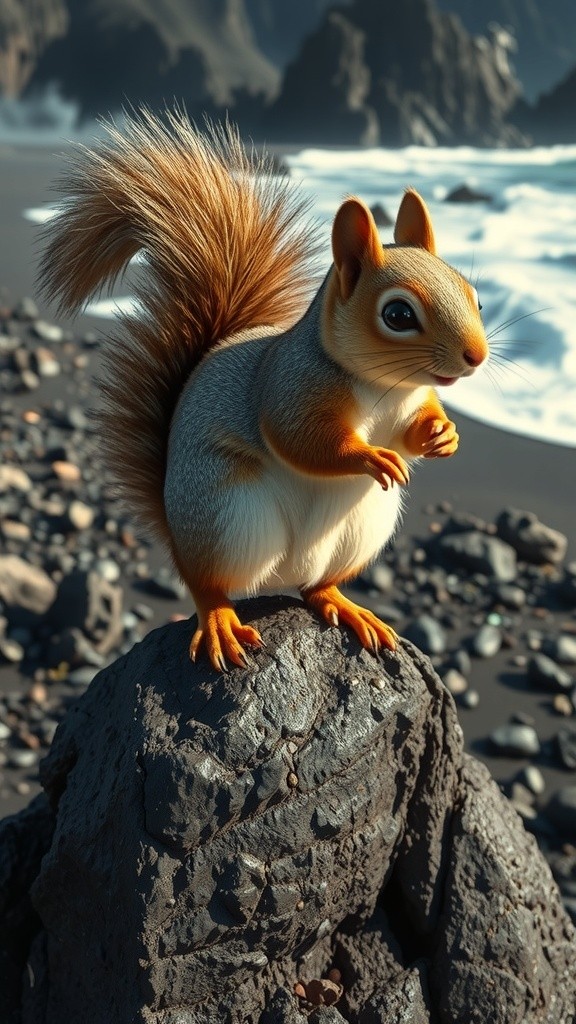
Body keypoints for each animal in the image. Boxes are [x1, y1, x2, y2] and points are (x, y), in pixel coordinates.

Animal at [39, 108, 488, 672]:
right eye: (398, 315)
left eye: (475, 295)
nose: (477, 356)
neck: (387, 387)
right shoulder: (289, 387)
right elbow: (302, 440)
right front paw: (371, 457)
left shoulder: (413, 402)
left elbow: (415, 429)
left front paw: (443, 436)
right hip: (224, 516)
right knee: (207, 585)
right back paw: (220, 622)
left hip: (359, 530)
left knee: (317, 587)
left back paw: (347, 607)